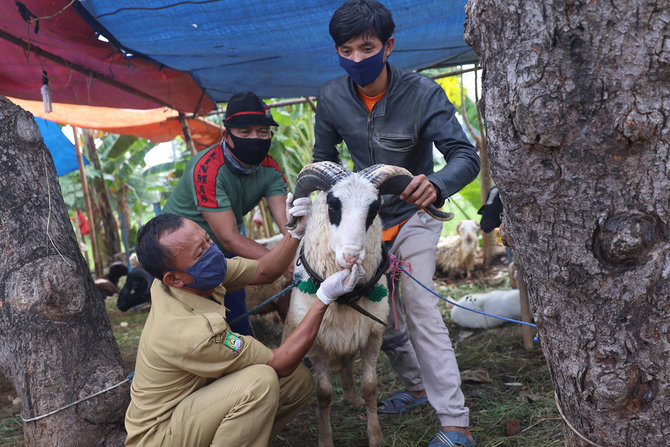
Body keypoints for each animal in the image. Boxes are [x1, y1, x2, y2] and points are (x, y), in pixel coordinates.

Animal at [284, 162, 452, 447]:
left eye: (374, 209)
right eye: (332, 204)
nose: (351, 256)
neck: (342, 301)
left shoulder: (373, 335)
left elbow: (371, 388)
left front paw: (375, 436)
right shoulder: (316, 344)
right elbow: (324, 394)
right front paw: (325, 439)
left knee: (348, 366)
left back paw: (353, 398)